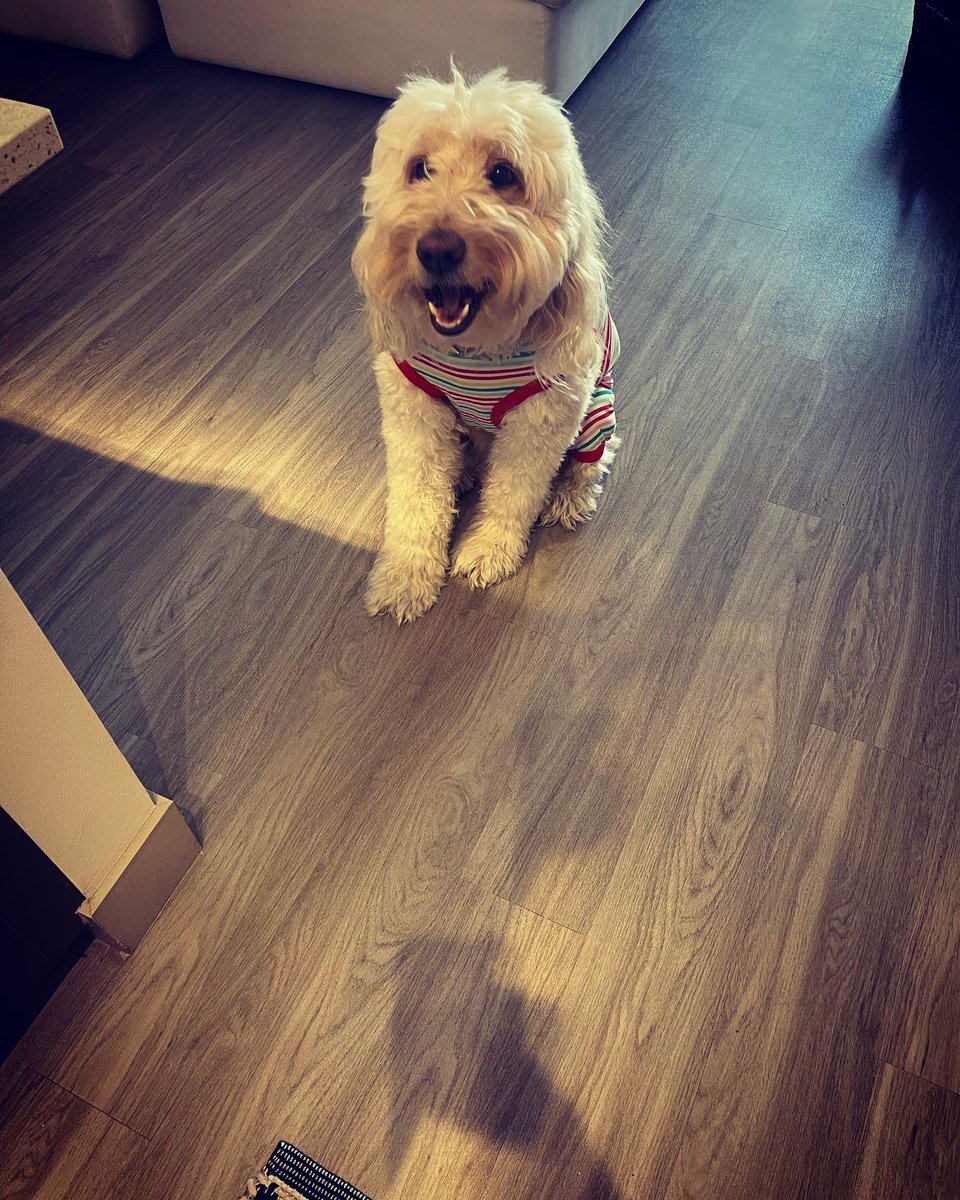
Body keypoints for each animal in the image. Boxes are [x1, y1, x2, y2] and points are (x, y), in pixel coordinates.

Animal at [352, 66, 624, 624]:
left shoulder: (541, 421)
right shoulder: (414, 412)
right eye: (420, 169)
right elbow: (416, 501)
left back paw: (568, 497)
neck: (475, 350)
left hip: (597, 413)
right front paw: (405, 574)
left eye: (502, 174)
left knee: (592, 461)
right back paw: (463, 470)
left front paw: (489, 550)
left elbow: (515, 493)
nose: (436, 249)